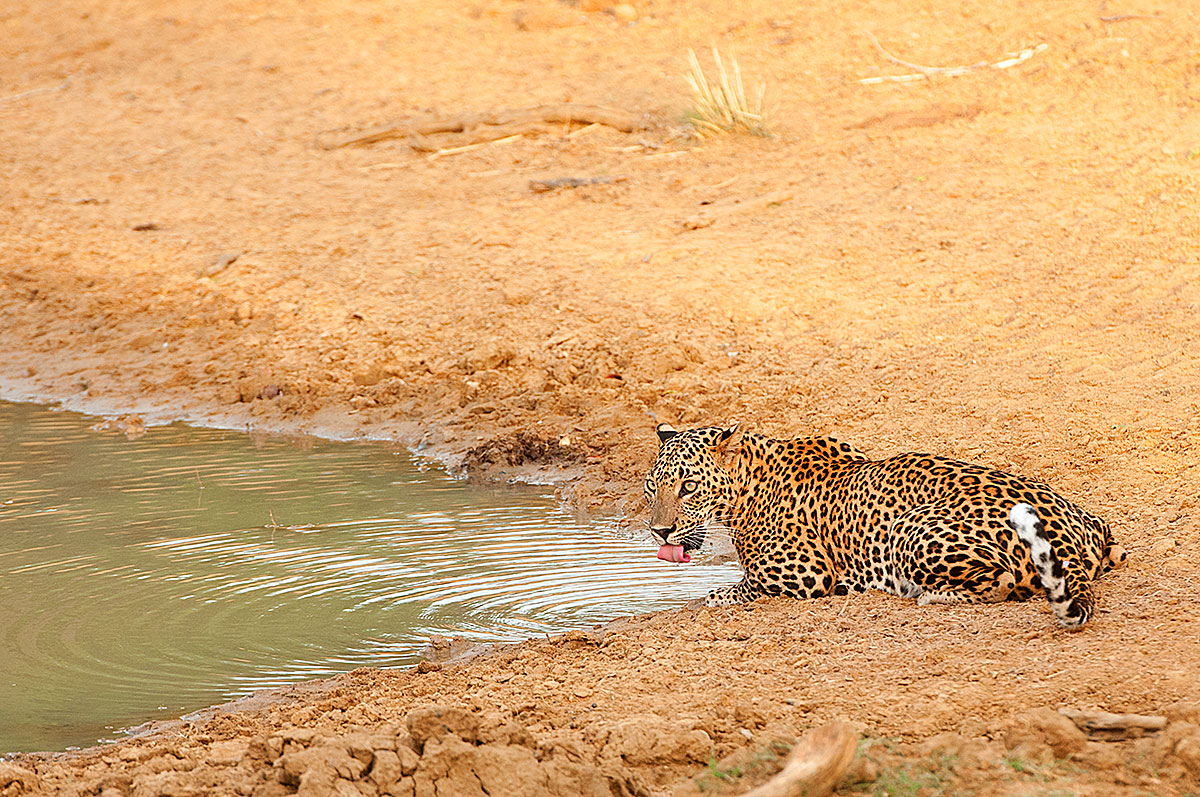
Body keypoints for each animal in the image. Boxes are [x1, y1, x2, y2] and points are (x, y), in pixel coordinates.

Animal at [644, 423, 1127, 630]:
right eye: (652, 486)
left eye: (688, 487)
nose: (660, 533)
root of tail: (1073, 529)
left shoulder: (805, 573)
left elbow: (730, 589)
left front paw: (715, 594)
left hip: (908, 530)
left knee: (1004, 580)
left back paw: (930, 594)